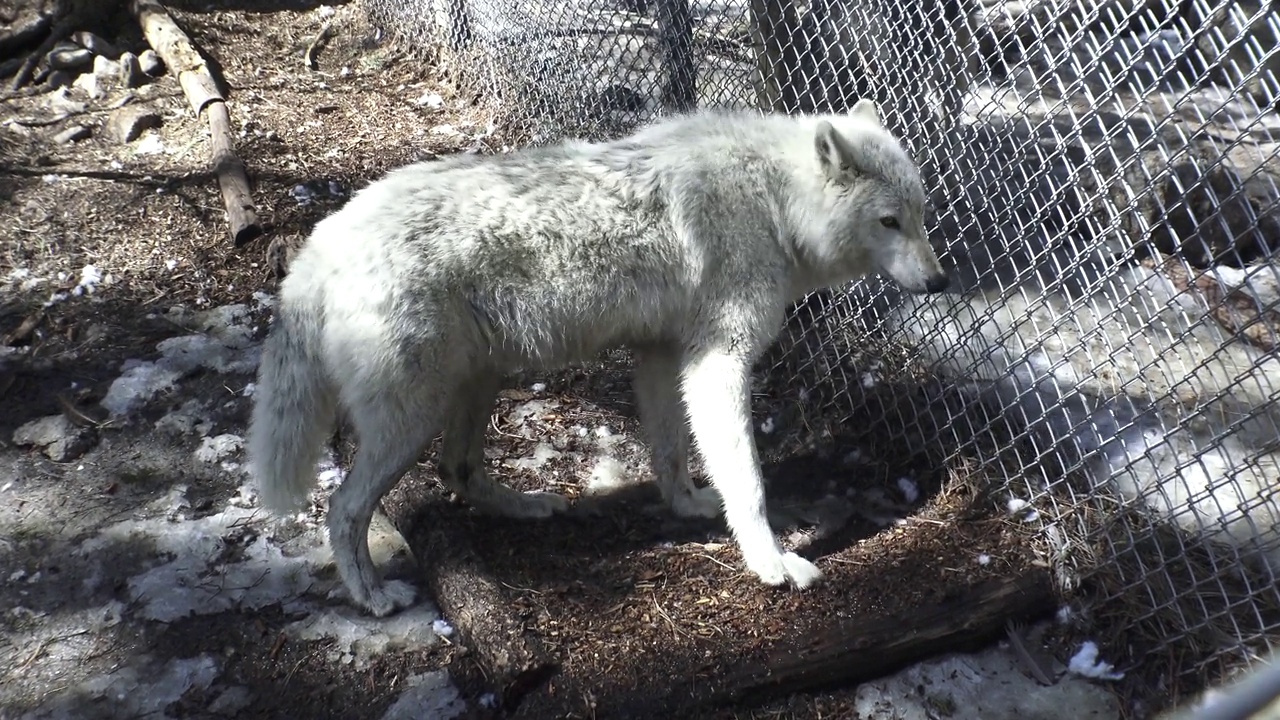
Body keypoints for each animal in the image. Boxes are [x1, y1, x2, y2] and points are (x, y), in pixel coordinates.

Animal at [247, 98, 952, 614]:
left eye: (921, 214)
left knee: (459, 471)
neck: (773, 201)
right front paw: (773, 563)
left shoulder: (664, 355)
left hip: (477, 379)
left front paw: (689, 507)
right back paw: (373, 597)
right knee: (344, 510)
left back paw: (528, 507)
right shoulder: (719, 361)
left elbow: (672, 452)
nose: (941, 282)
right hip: (413, 417)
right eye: (889, 222)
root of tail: (322, 243)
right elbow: (748, 481)